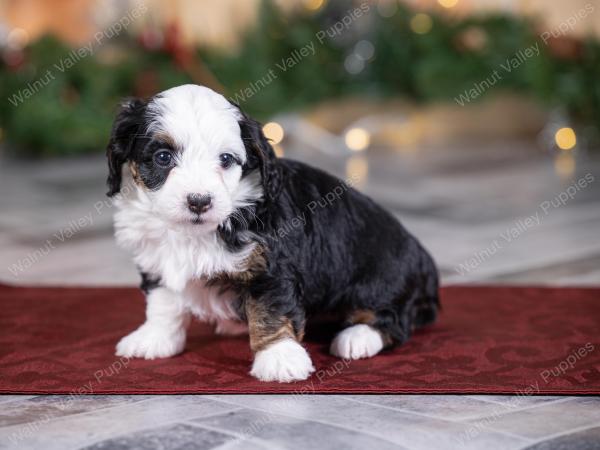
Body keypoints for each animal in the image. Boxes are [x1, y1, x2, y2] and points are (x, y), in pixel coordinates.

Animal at [105, 82, 438, 382]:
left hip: (382, 279)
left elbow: (271, 311)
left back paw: (357, 337)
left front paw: (279, 359)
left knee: (394, 320)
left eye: (225, 159)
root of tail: (425, 262)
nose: (199, 201)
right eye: (163, 157)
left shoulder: (271, 267)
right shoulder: (156, 255)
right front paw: (154, 339)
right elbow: (163, 301)